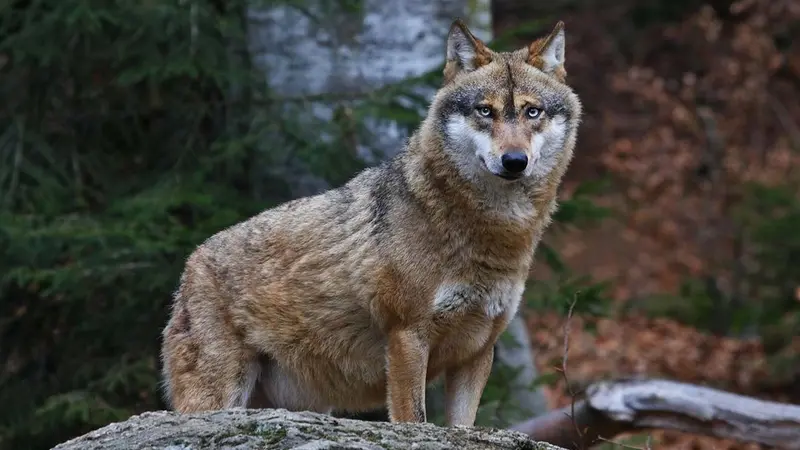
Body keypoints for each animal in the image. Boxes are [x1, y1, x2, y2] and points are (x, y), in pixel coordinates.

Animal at [160, 18, 582, 427]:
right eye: (485, 111)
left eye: (532, 112)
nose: (514, 161)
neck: (494, 233)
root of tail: (191, 262)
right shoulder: (407, 336)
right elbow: (414, 420)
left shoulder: (478, 351)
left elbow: (462, 427)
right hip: (219, 398)